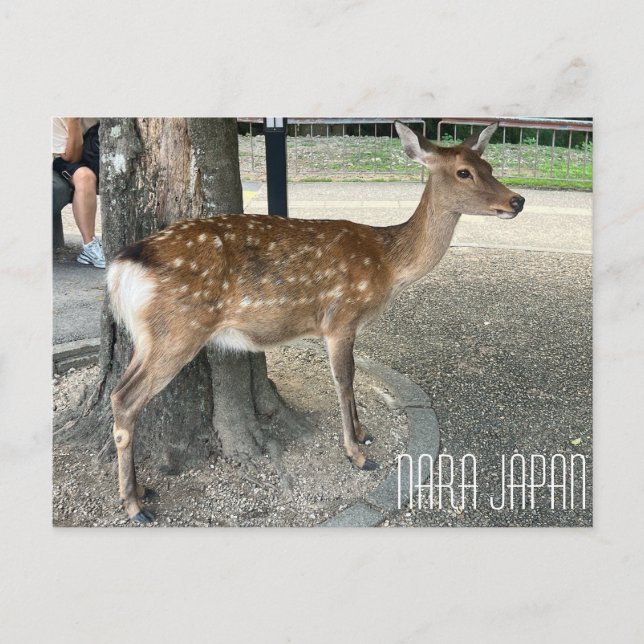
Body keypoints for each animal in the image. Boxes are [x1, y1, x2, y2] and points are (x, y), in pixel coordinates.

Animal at [106, 121, 525, 524]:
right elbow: (343, 378)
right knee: (125, 399)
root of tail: (121, 267)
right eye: (464, 172)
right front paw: (357, 454)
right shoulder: (340, 316)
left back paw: (140, 490)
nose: (517, 200)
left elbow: (349, 375)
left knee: (118, 390)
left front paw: (363, 433)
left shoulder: (347, 325)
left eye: (490, 166)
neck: (388, 265)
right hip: (178, 330)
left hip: (151, 336)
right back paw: (134, 505)